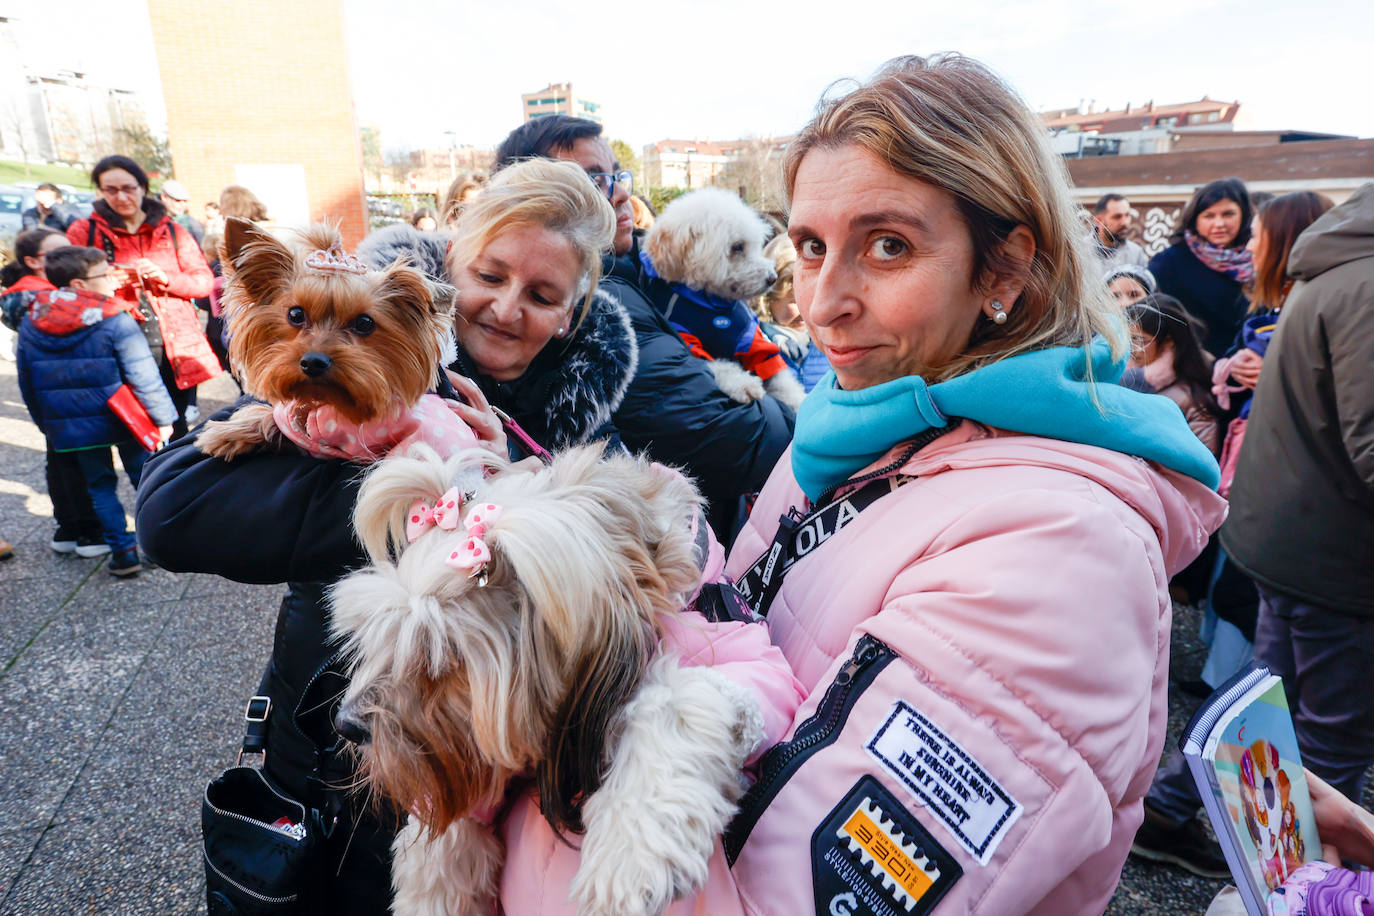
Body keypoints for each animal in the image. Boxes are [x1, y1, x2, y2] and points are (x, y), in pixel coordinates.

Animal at [328, 442, 769, 911]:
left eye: (439, 653)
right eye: (383, 634)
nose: (346, 724)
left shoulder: (752, 665)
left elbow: (678, 702)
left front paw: (628, 857)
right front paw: (435, 879)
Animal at [643, 186, 802, 409]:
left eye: (756, 245)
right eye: (737, 247)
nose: (772, 278)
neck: (714, 307)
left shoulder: (752, 339)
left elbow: (776, 372)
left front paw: (798, 401)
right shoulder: (686, 338)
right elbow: (718, 365)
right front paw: (741, 383)